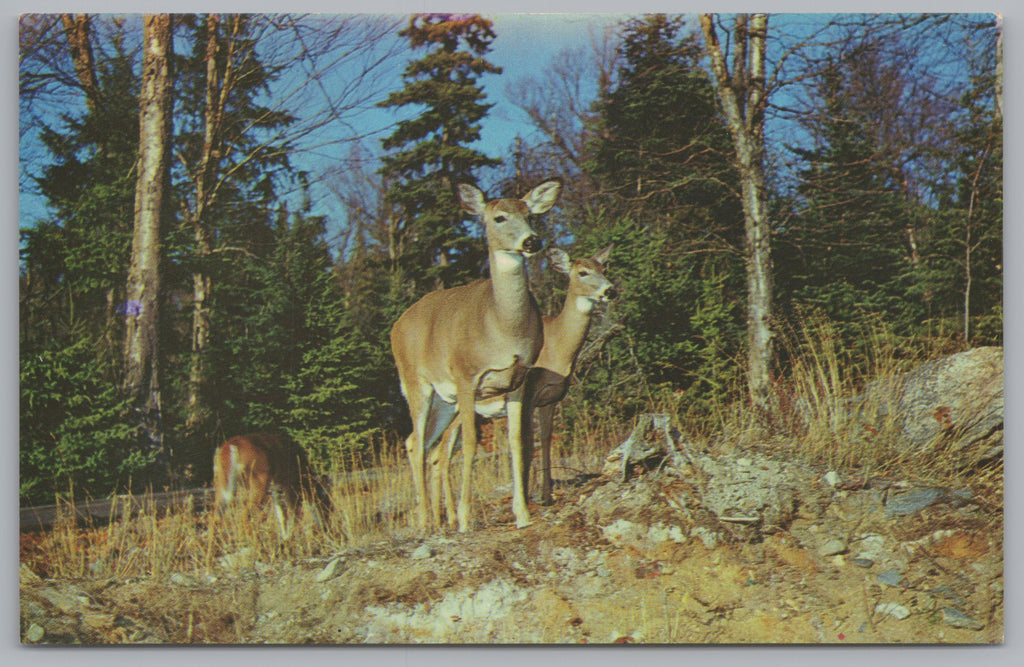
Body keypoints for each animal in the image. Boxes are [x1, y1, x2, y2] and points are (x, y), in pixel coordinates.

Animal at [391, 177, 565, 532]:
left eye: (530, 215)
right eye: (499, 217)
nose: (532, 240)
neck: (502, 327)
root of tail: (396, 327)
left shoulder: (518, 380)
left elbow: (517, 442)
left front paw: (522, 514)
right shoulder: (466, 376)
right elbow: (471, 444)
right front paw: (465, 519)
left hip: (444, 401)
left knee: (416, 442)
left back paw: (430, 520)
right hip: (417, 383)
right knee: (419, 443)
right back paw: (426, 522)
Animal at [430, 243, 614, 522]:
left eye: (604, 269)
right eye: (582, 272)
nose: (610, 290)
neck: (559, 348)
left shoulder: (550, 399)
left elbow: (545, 439)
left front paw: (546, 496)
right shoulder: (528, 394)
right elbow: (526, 443)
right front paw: (527, 498)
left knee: (435, 454)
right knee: (440, 454)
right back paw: (451, 517)